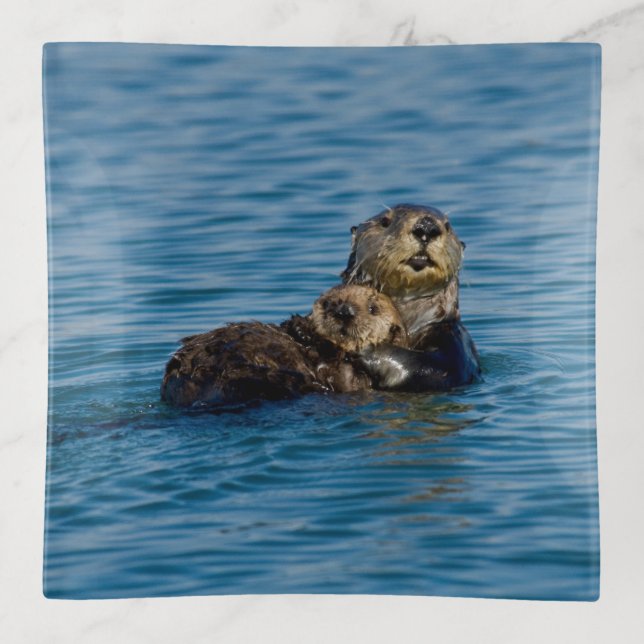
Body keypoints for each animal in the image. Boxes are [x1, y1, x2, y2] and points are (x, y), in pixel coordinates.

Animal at [161, 284, 407, 407]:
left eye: (373, 308)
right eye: (328, 303)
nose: (344, 311)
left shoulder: (355, 379)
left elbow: (342, 376)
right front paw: (298, 326)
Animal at [342, 203, 480, 391]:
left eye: (448, 226)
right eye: (385, 221)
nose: (427, 227)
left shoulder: (456, 340)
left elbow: (435, 369)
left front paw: (365, 348)